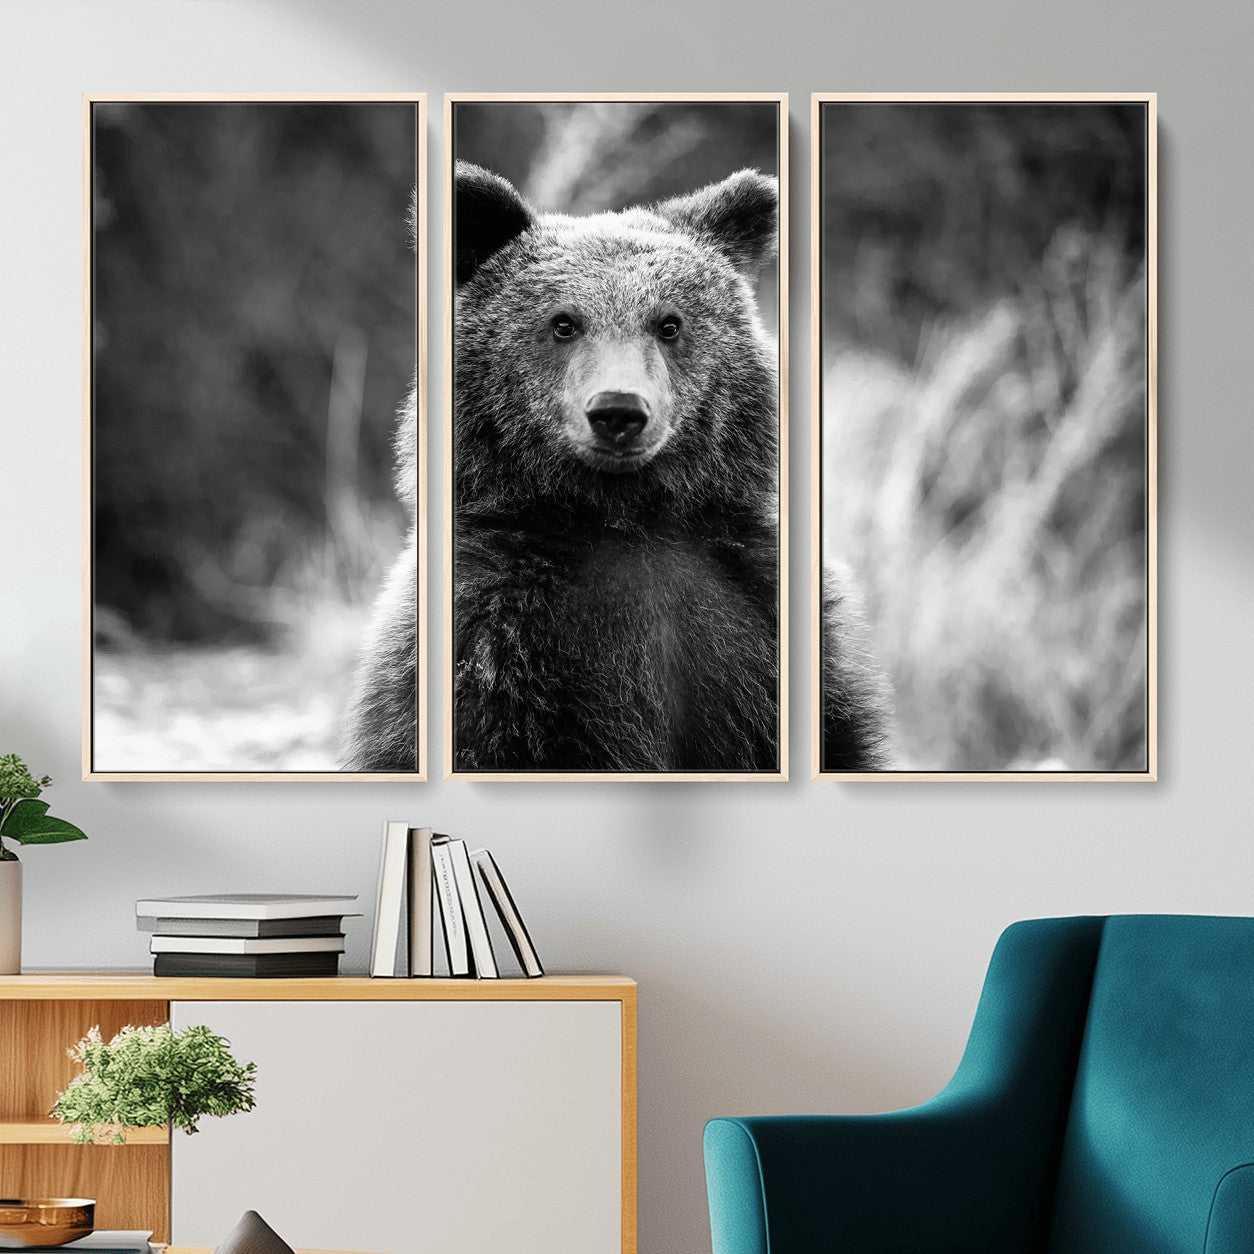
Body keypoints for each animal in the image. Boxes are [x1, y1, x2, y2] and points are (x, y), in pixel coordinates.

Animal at [450, 160, 889, 773]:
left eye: (668, 323)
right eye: (563, 323)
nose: (618, 411)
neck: (625, 519)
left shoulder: (754, 610)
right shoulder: (498, 633)